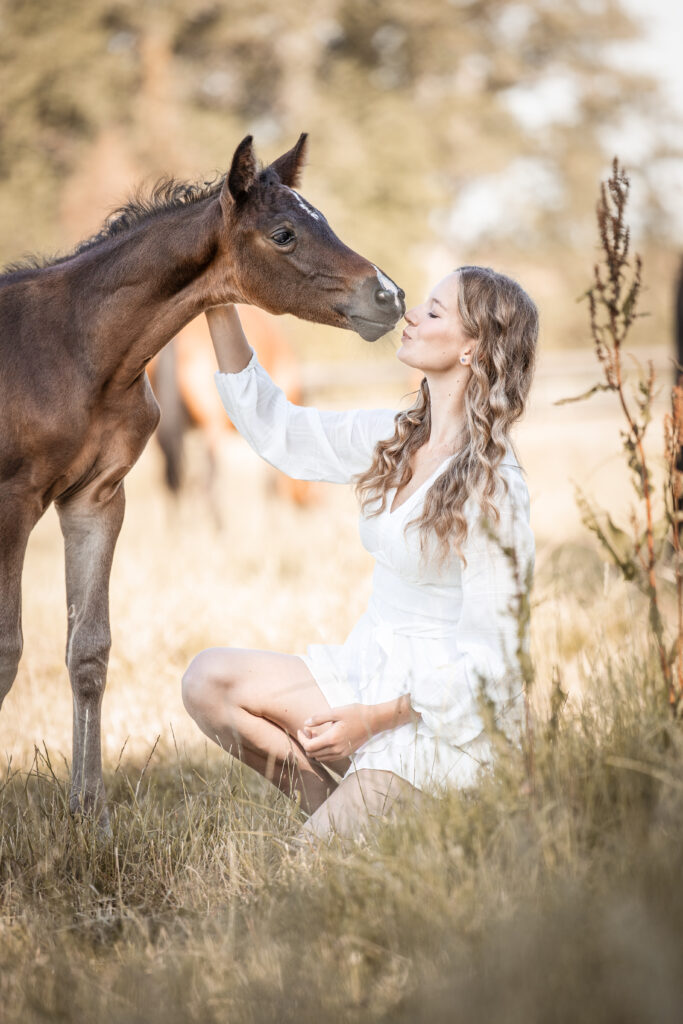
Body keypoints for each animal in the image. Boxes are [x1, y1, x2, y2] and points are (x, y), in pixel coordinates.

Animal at [0, 134, 405, 823]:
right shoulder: (14, 502)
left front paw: (91, 816)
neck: (74, 349)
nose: (390, 296)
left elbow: (88, 651)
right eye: (284, 233)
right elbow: (7, 651)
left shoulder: (95, 498)